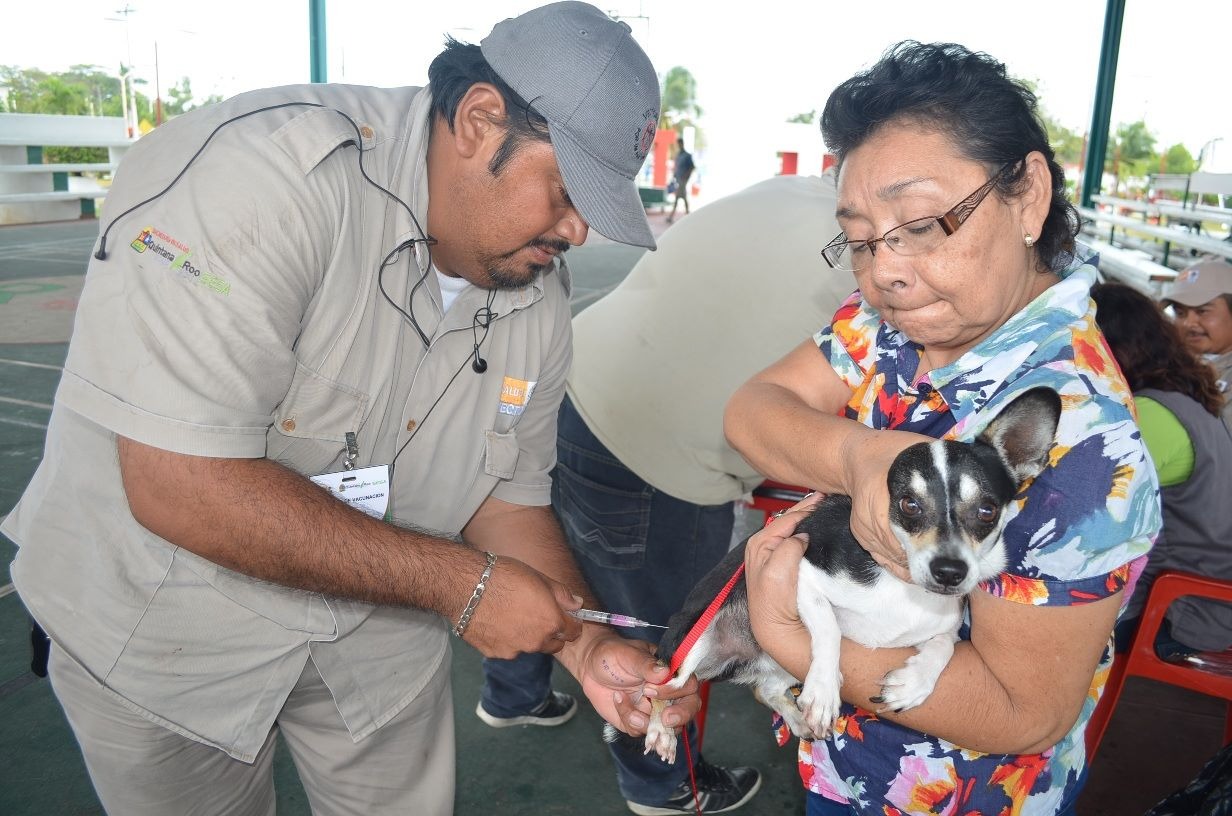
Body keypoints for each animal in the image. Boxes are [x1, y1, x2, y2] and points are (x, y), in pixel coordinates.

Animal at [635, 387, 1059, 764]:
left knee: (764, 690)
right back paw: (661, 731)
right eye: (909, 504)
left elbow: (944, 646)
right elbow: (829, 628)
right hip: (692, 647)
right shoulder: (802, 571)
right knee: (658, 689)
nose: (950, 572)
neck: (903, 588)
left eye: (987, 511)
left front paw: (914, 683)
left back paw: (795, 717)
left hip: (779, 665)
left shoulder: (947, 625)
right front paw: (824, 690)